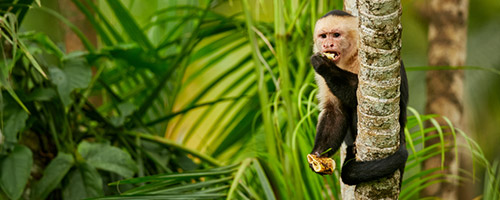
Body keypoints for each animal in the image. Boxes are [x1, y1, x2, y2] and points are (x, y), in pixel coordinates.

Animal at [308, 10, 410, 186]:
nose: (327, 45)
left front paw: (324, 65)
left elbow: (363, 97)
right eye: (323, 36)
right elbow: (335, 111)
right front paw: (319, 155)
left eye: (336, 35)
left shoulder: (365, 57)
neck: (348, 58)